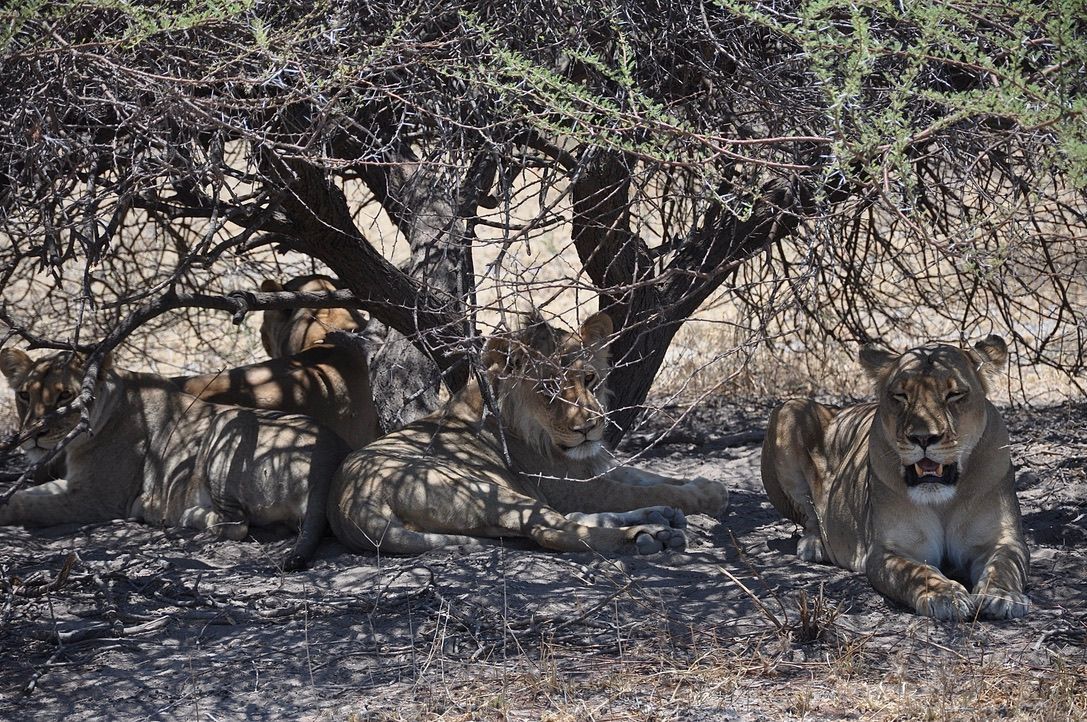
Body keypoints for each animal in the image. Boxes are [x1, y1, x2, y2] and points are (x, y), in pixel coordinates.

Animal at [0, 349, 350, 570]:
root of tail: (329, 454)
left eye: (65, 395)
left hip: (227, 426)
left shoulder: (94, 498)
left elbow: (24, 502)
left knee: (236, 524)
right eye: (24, 395)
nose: (33, 433)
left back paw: (177, 513)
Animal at [328, 312, 729, 555]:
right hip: (487, 492)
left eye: (590, 379)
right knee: (552, 530)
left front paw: (705, 487)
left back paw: (660, 518)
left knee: (558, 521)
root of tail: (349, 503)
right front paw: (706, 497)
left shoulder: (590, 466)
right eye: (548, 390)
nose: (589, 427)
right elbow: (638, 488)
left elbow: (648, 476)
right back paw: (648, 537)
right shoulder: (574, 487)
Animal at [761, 335, 1029, 620]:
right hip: (788, 409)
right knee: (809, 515)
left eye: (954, 394)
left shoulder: (1003, 538)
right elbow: (918, 572)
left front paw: (1002, 596)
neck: (943, 501)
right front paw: (946, 595)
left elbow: (1005, 565)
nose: (924, 438)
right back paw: (814, 544)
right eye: (901, 396)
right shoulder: (887, 551)